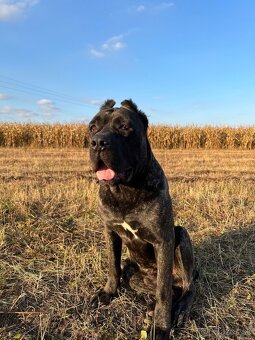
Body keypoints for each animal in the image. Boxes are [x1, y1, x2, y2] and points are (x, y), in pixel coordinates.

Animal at [89, 99, 197, 338]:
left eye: (124, 127)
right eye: (92, 127)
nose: (98, 142)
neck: (124, 190)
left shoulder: (163, 240)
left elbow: (164, 291)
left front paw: (162, 326)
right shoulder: (110, 231)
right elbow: (113, 266)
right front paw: (108, 292)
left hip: (181, 236)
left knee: (186, 286)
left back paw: (179, 310)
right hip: (135, 274)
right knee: (160, 287)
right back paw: (151, 307)